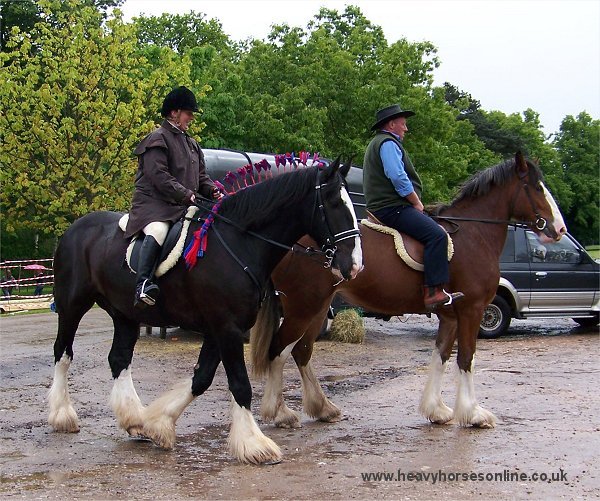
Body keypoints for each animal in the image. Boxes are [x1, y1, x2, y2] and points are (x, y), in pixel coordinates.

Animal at [47, 158, 364, 462]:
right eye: (334, 203)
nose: (355, 265)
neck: (240, 243)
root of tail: (75, 228)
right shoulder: (227, 328)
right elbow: (240, 383)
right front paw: (254, 444)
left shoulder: (218, 329)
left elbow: (201, 379)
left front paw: (158, 425)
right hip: (72, 306)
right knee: (63, 352)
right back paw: (63, 416)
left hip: (125, 314)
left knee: (119, 359)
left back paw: (134, 420)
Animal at [252, 151, 568, 430]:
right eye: (536, 187)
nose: (560, 228)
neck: (472, 235)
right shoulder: (473, 309)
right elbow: (466, 357)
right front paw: (473, 414)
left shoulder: (450, 315)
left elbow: (441, 355)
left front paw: (436, 409)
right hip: (303, 306)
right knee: (278, 350)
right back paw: (280, 413)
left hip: (316, 307)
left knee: (301, 351)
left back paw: (323, 408)